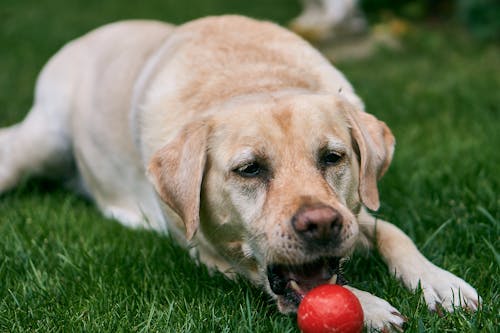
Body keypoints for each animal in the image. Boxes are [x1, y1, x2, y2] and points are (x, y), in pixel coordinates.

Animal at [0, 14, 480, 330]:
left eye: (332, 157)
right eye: (250, 169)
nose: (321, 223)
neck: (250, 77)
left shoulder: (355, 212)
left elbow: (393, 232)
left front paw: (439, 282)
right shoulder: (212, 255)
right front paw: (372, 307)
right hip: (41, 144)